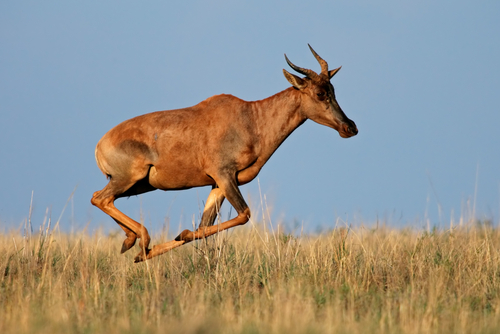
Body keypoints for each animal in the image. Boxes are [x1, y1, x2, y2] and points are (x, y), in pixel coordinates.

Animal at [92, 45, 358, 264]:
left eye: (332, 89)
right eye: (320, 93)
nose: (350, 128)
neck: (251, 118)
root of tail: (100, 144)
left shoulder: (217, 184)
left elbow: (203, 227)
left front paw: (169, 242)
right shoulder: (224, 175)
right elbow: (244, 214)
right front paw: (168, 240)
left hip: (139, 185)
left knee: (103, 198)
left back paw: (131, 241)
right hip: (130, 178)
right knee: (100, 198)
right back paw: (142, 240)